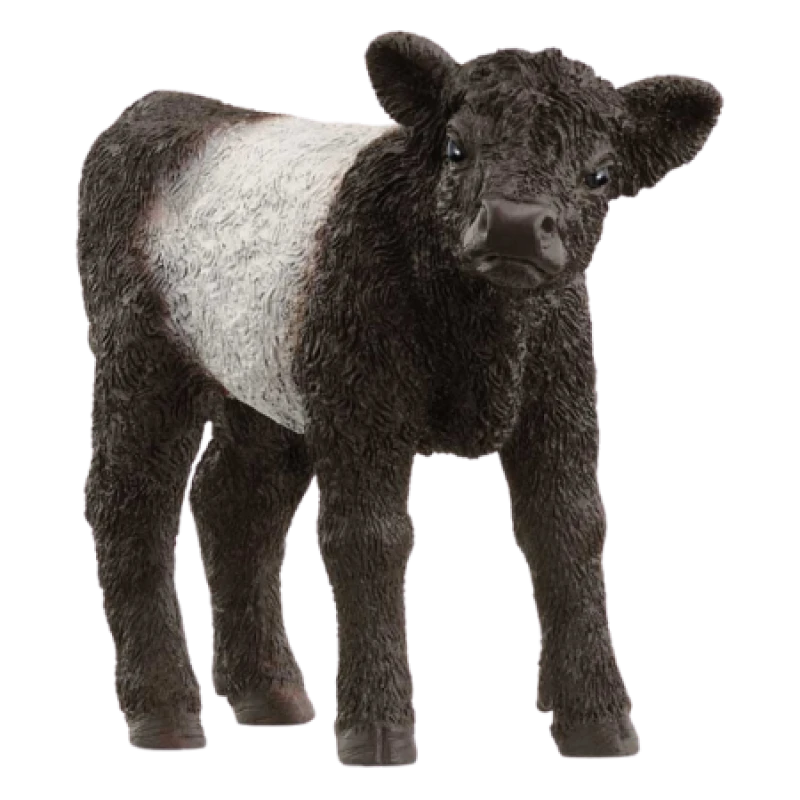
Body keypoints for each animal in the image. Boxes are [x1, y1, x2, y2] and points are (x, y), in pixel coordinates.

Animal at [76, 32, 724, 762]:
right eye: (456, 148)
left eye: (601, 173)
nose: (515, 225)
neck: (479, 323)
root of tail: (161, 108)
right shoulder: (362, 399)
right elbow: (372, 539)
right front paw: (378, 733)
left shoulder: (560, 396)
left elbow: (569, 532)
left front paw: (601, 726)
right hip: (141, 356)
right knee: (131, 502)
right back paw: (162, 712)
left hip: (264, 372)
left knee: (236, 502)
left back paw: (269, 694)